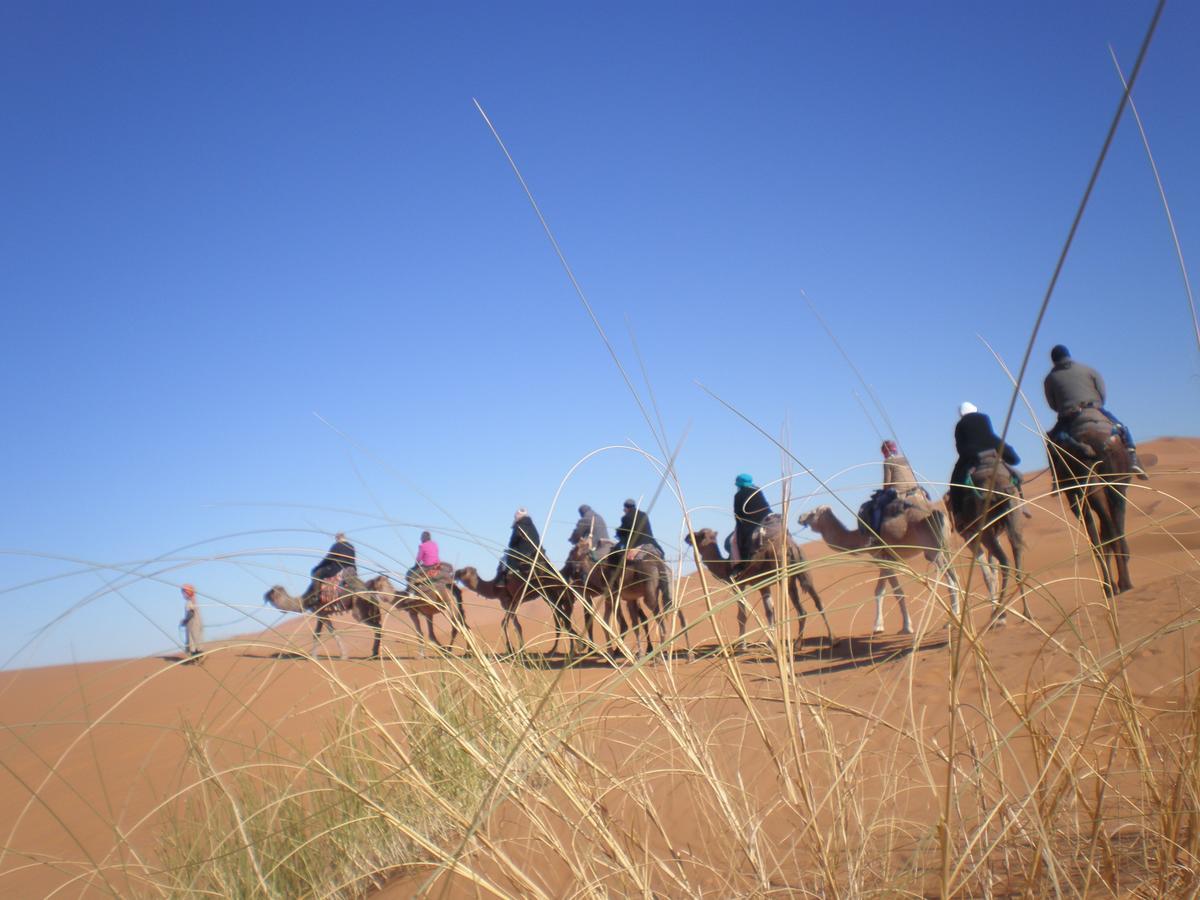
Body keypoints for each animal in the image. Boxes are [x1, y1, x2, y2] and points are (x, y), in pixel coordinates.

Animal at [686, 520, 835, 648]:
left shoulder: (739, 586)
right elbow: (770, 611)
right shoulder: (763, 585)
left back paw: (800, 643)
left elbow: (742, 616)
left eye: (699, 535)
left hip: (784, 575)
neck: (726, 566)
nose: (687, 537)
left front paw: (742, 645)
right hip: (803, 571)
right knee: (816, 602)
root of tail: (793, 546)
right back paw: (828, 639)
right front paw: (771, 643)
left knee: (798, 608)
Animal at [796, 504, 964, 638]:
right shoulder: (884, 561)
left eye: (812, 513)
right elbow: (879, 591)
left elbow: (897, 592)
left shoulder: (885, 559)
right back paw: (957, 617)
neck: (859, 537)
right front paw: (878, 626)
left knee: (950, 581)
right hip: (945, 548)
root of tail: (940, 514)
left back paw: (951, 622)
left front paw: (906, 627)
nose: (800, 517)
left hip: (934, 551)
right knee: (955, 576)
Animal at [1046, 415, 1128, 600]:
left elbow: (1100, 538)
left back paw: (1114, 586)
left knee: (1104, 535)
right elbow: (1107, 535)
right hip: (1109, 488)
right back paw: (1122, 583)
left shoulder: (1076, 500)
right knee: (1113, 531)